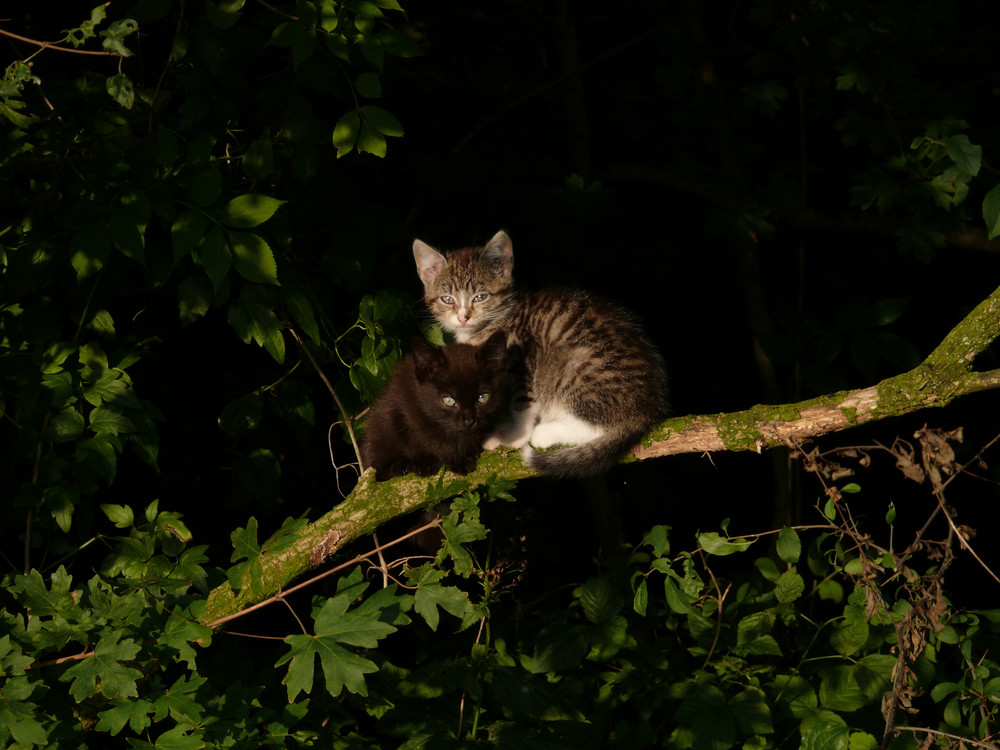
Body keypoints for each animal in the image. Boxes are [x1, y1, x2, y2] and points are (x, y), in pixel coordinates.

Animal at [362, 334, 508, 482]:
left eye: (483, 397)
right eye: (448, 400)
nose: (469, 421)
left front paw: (464, 455)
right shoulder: (401, 405)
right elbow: (414, 438)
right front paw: (427, 462)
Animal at [410, 231, 668, 482]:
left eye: (480, 297)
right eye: (447, 299)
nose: (463, 317)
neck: (488, 326)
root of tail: (650, 404)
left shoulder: (523, 359)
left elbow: (522, 402)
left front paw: (517, 435)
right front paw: (497, 432)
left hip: (574, 363)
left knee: (598, 424)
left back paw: (545, 433)